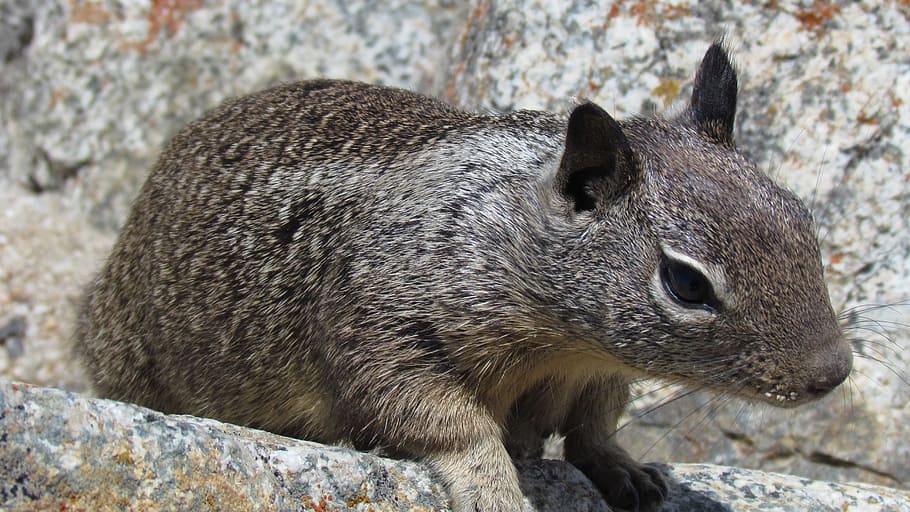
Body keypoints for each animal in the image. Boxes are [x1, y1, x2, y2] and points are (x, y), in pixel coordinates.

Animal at [75, 42, 853, 512]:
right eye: (687, 284)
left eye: (802, 219)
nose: (834, 373)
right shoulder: (386, 329)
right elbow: (449, 424)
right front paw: (495, 487)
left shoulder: (604, 371)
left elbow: (593, 429)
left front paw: (627, 469)